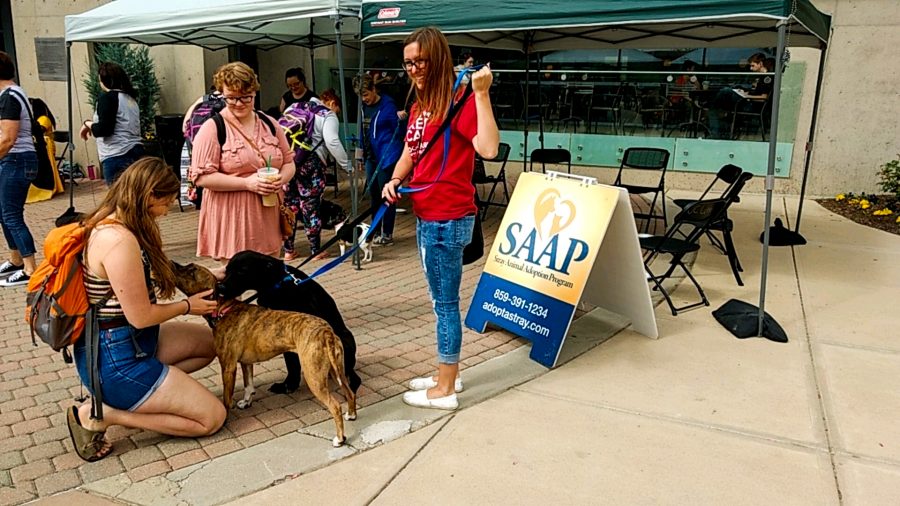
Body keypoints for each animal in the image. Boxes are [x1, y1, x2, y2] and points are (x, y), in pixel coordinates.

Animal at [218, 251, 362, 394]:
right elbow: (291, 362)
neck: (277, 283)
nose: (220, 287)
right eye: (226, 270)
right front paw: (289, 385)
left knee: (349, 374)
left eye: (242, 271)